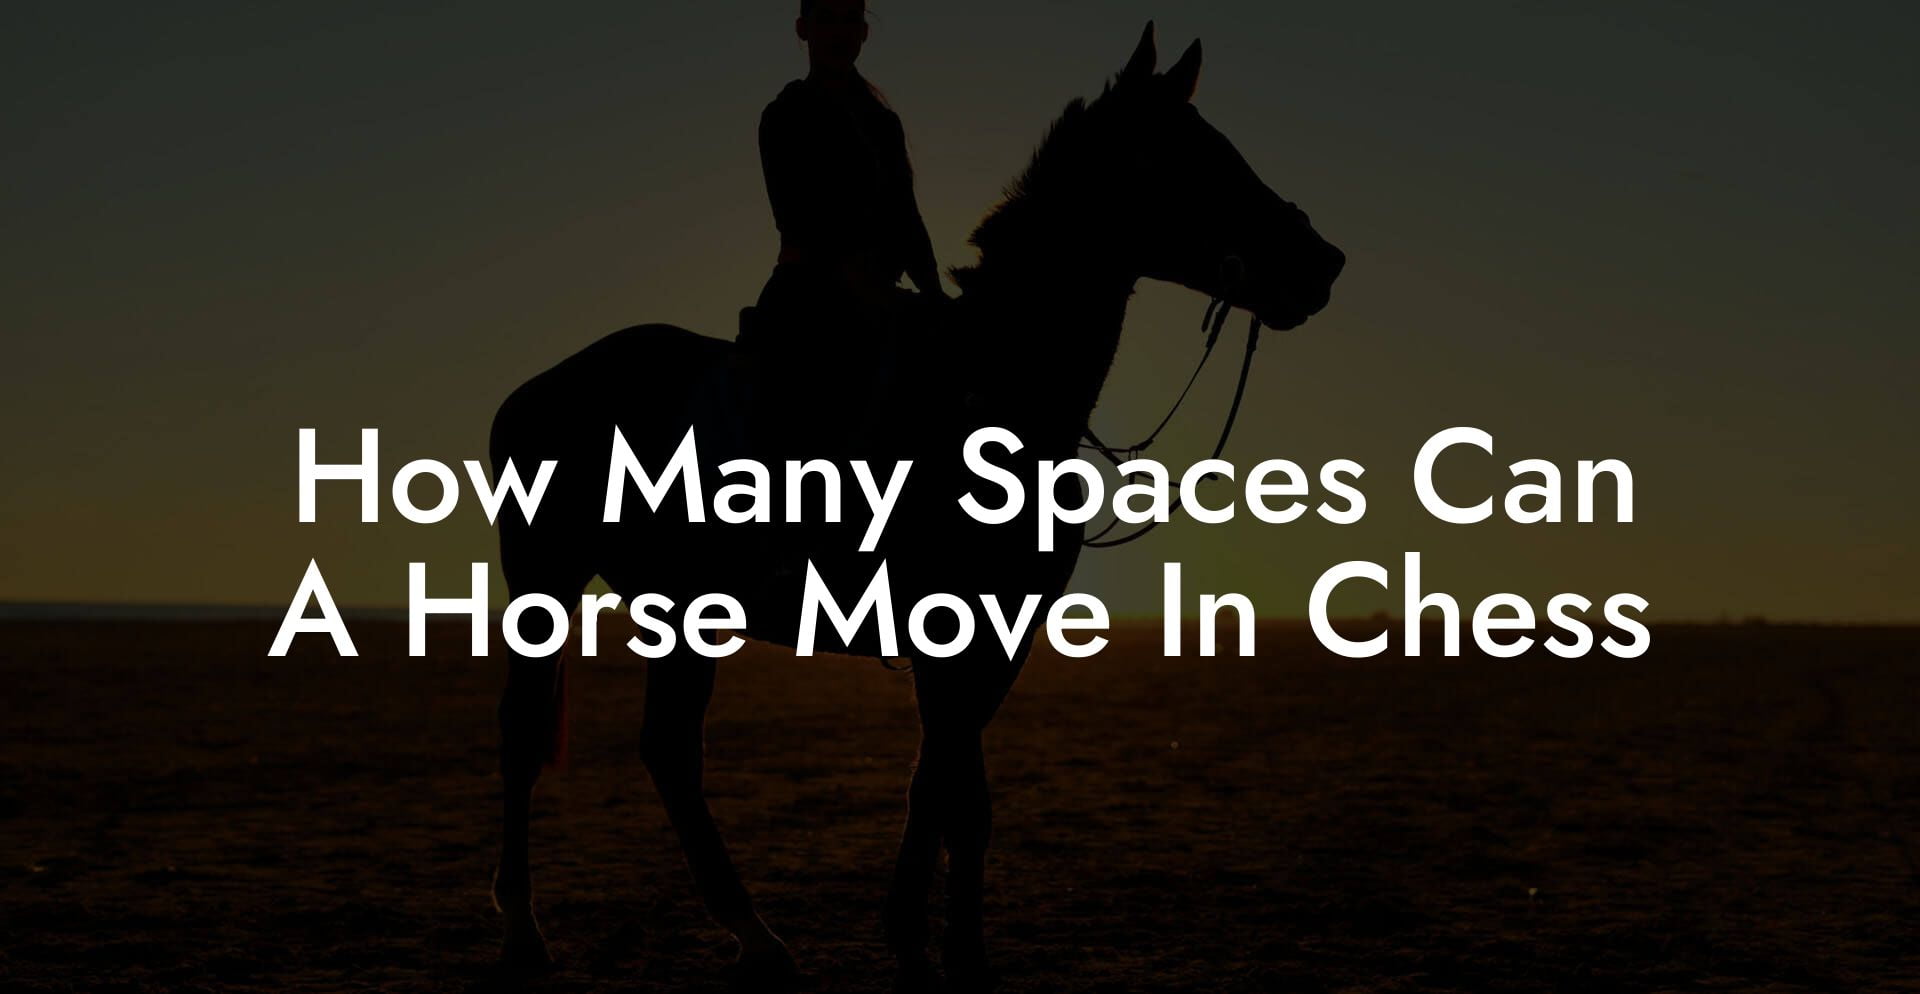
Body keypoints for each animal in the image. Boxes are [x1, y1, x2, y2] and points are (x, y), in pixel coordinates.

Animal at [487, 22, 1346, 991]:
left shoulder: (997, 637)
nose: (1322, 263)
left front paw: (929, 943)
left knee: (669, 751)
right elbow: (953, 790)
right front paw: (944, 951)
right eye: (1188, 157)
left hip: (680, 609)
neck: (986, 389)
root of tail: (538, 390)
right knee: (524, 735)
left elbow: (946, 787)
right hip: (545, 581)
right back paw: (526, 934)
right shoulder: (947, 630)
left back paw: (757, 938)